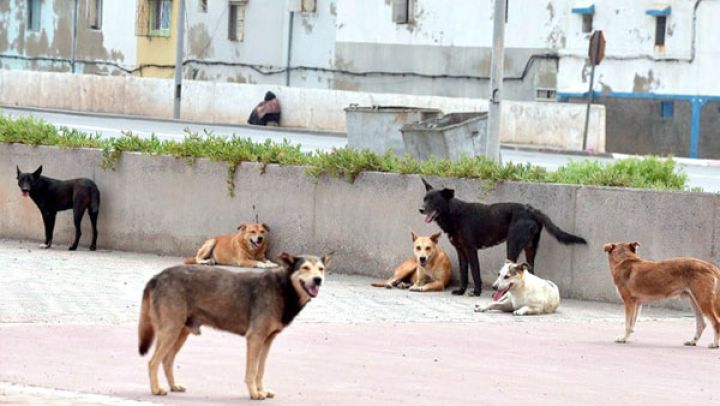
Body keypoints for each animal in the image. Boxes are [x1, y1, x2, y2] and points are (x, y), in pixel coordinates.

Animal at [138, 252, 332, 398]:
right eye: (305, 268)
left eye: (321, 269)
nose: (318, 280)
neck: (283, 289)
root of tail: (157, 277)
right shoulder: (255, 339)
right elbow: (252, 371)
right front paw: (254, 393)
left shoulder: (267, 341)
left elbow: (260, 370)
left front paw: (261, 390)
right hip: (170, 331)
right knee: (153, 362)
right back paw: (156, 390)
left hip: (180, 333)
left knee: (166, 361)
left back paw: (174, 386)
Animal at [420, 178, 588, 294]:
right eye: (424, 199)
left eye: (434, 200)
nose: (420, 209)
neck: (454, 214)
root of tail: (531, 210)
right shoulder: (461, 251)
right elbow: (463, 273)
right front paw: (461, 291)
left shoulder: (471, 249)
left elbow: (475, 272)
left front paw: (476, 292)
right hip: (530, 248)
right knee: (530, 271)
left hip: (512, 245)